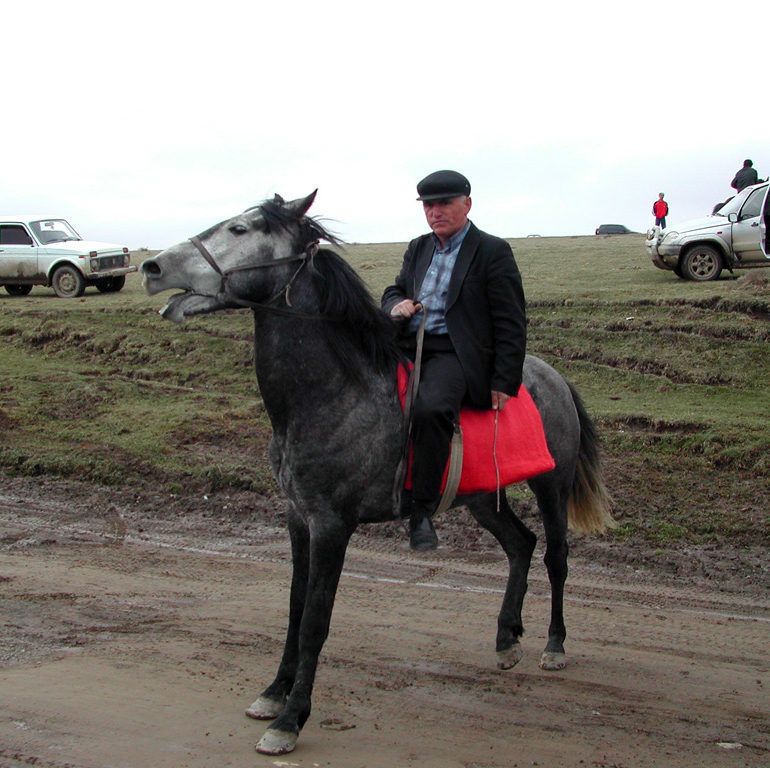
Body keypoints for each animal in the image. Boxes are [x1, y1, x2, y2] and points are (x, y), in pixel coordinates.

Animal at [142, 194, 612, 756]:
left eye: (241, 228)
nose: (151, 268)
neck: (333, 393)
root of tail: (553, 376)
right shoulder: (298, 518)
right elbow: (294, 609)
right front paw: (274, 694)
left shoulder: (332, 526)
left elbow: (315, 621)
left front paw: (292, 719)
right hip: (481, 497)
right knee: (521, 545)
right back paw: (505, 638)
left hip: (551, 486)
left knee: (556, 558)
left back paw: (554, 645)